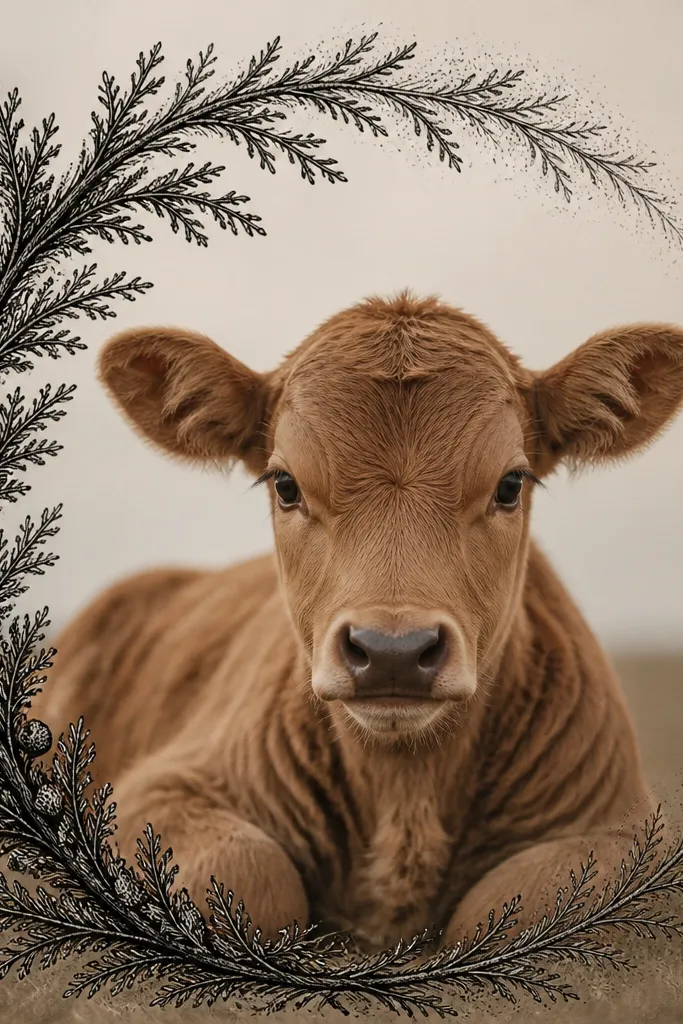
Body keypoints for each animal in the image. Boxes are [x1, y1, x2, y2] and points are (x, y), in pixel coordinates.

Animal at [35, 292, 683, 951]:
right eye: (285, 484)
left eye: (510, 485)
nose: (394, 651)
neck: (403, 798)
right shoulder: (160, 788)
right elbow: (252, 872)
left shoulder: (621, 826)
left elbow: (512, 910)